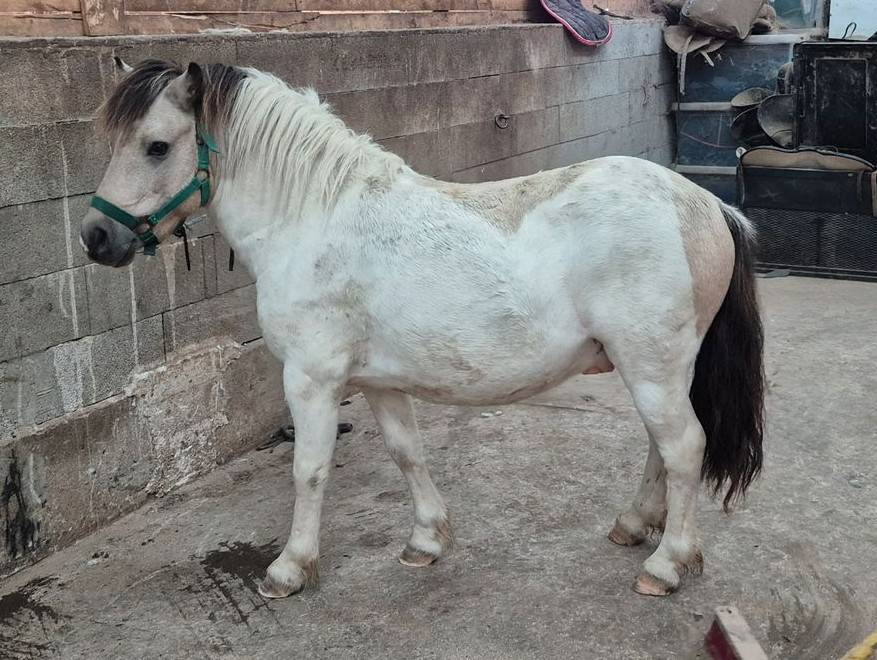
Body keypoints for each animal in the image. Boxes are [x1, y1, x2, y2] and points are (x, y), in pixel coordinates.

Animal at [79, 58, 764, 598]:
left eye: (156, 146)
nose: (95, 237)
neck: (313, 219)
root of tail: (708, 205)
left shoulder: (312, 380)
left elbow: (309, 469)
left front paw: (290, 568)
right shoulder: (378, 382)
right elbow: (407, 453)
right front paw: (427, 542)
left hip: (652, 365)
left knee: (683, 449)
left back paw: (667, 565)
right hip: (652, 368)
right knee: (661, 448)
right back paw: (633, 525)